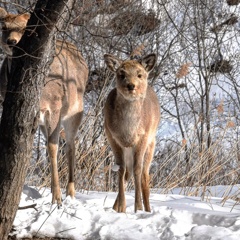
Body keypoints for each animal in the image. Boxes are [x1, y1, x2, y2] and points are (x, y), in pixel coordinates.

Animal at [0, 8, 88, 205]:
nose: (11, 41)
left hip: (74, 111)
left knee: (70, 144)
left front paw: (57, 198)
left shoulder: (54, 106)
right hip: (43, 121)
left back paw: (70, 192)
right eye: (3, 27)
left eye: (25, 28)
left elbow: (52, 147)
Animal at [104, 53, 160, 212]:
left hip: (151, 144)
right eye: (121, 74)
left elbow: (137, 170)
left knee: (144, 176)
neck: (128, 131)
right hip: (127, 150)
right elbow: (121, 170)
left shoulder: (143, 137)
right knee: (127, 173)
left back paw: (148, 209)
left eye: (139, 74)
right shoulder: (112, 137)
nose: (131, 85)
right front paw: (121, 208)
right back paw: (115, 207)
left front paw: (138, 207)